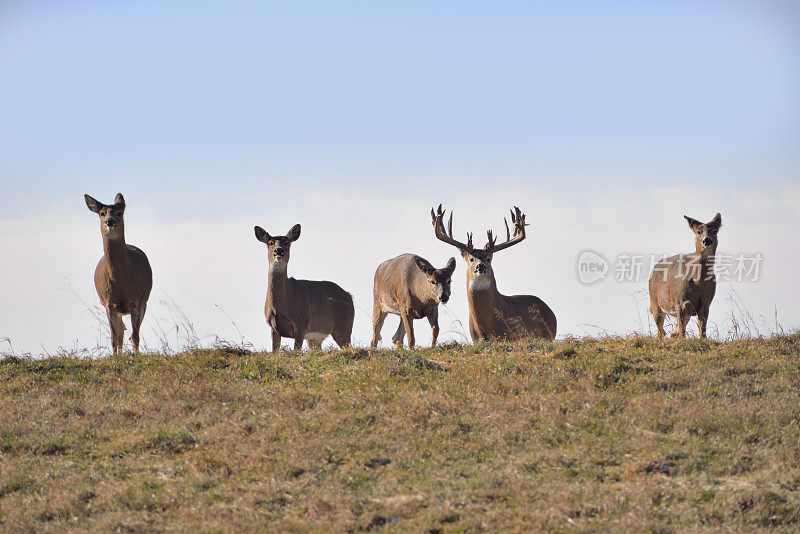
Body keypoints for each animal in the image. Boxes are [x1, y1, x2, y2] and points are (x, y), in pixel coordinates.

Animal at [84, 194, 153, 356]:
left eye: (119, 213)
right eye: (102, 213)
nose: (110, 221)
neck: (123, 281)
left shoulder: (138, 301)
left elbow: (135, 336)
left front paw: (136, 356)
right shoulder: (109, 303)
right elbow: (114, 337)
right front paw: (116, 357)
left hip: (144, 301)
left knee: (129, 332)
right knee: (120, 332)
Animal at [253, 224, 354, 354]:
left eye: (287, 242)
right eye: (270, 243)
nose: (278, 250)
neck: (281, 305)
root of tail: (349, 296)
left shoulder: (301, 323)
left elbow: (296, 351)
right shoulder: (273, 326)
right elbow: (274, 351)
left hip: (344, 326)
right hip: (315, 339)